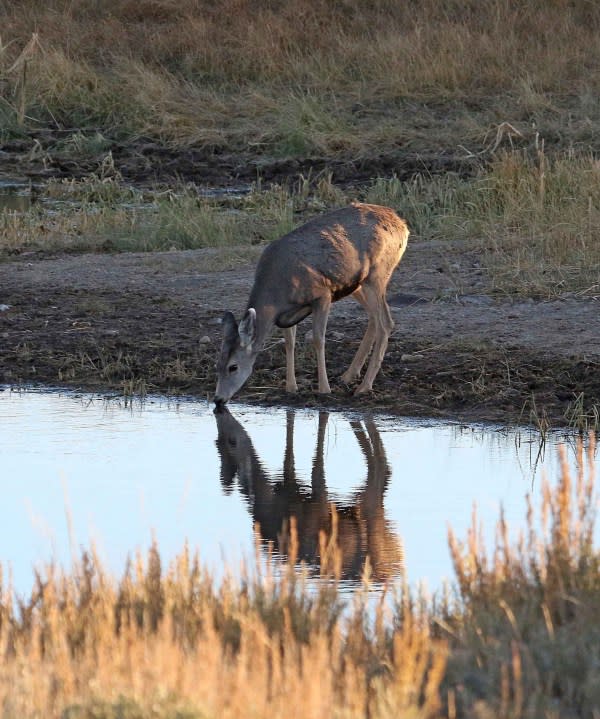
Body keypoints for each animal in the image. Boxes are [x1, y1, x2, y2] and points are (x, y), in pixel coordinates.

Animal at [214, 202, 408, 404]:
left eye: (233, 367)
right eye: (217, 365)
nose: (218, 399)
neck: (277, 291)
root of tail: (401, 224)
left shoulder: (322, 294)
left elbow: (318, 339)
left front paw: (324, 388)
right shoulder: (285, 313)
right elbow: (289, 342)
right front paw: (291, 387)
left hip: (377, 273)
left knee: (385, 322)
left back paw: (363, 387)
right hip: (356, 283)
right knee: (374, 318)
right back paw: (349, 375)